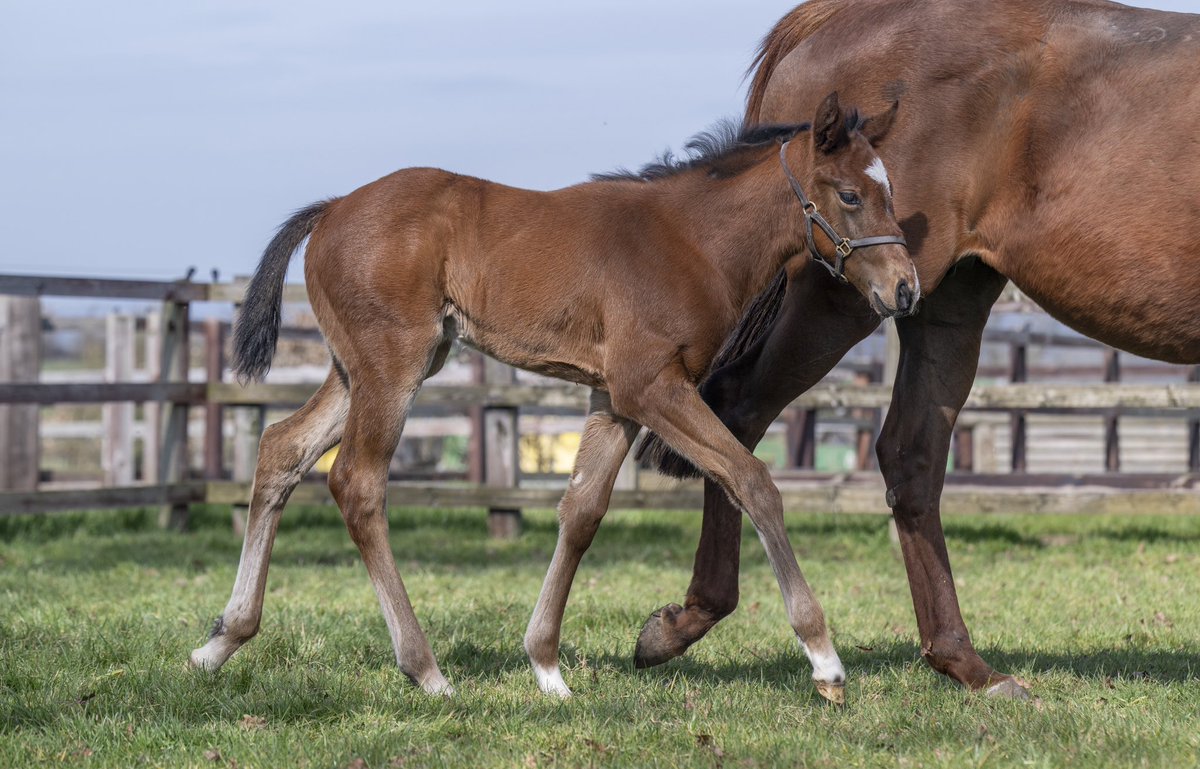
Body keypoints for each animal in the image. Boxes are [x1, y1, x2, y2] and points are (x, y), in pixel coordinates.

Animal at [188, 92, 918, 701]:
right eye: (850, 194)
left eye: (890, 191)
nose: (905, 288)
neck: (690, 240)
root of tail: (333, 208)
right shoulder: (651, 385)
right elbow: (753, 479)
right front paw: (825, 661)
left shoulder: (614, 399)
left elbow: (582, 511)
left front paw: (545, 664)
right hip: (392, 368)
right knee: (357, 484)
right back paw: (425, 669)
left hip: (360, 368)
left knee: (281, 448)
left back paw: (220, 641)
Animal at [634, 0, 1200, 700]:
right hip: (844, 300)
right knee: (738, 412)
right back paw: (688, 620)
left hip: (943, 301)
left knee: (910, 455)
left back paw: (965, 663)